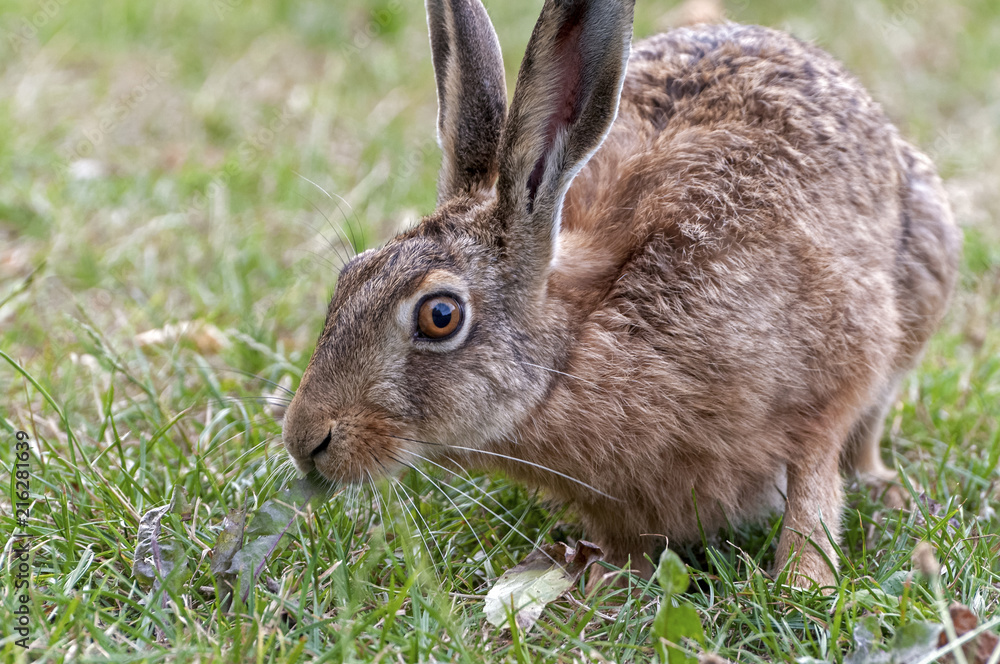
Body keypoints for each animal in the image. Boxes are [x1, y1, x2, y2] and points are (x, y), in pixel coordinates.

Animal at [282, 0, 960, 587]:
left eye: (440, 315)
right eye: (348, 278)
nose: (304, 440)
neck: (579, 344)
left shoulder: (835, 366)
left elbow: (814, 482)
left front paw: (803, 583)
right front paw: (603, 581)